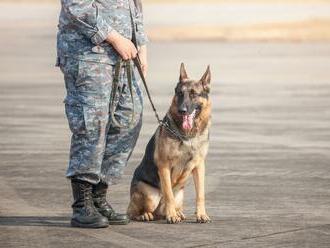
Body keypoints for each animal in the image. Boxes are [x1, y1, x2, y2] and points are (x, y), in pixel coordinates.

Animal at [127, 63, 211, 224]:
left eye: (194, 94)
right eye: (180, 93)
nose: (182, 110)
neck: (188, 136)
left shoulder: (199, 165)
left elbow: (201, 194)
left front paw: (201, 214)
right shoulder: (164, 166)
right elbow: (168, 194)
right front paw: (171, 215)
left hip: (180, 194)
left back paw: (179, 213)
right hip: (150, 195)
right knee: (133, 212)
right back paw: (148, 215)